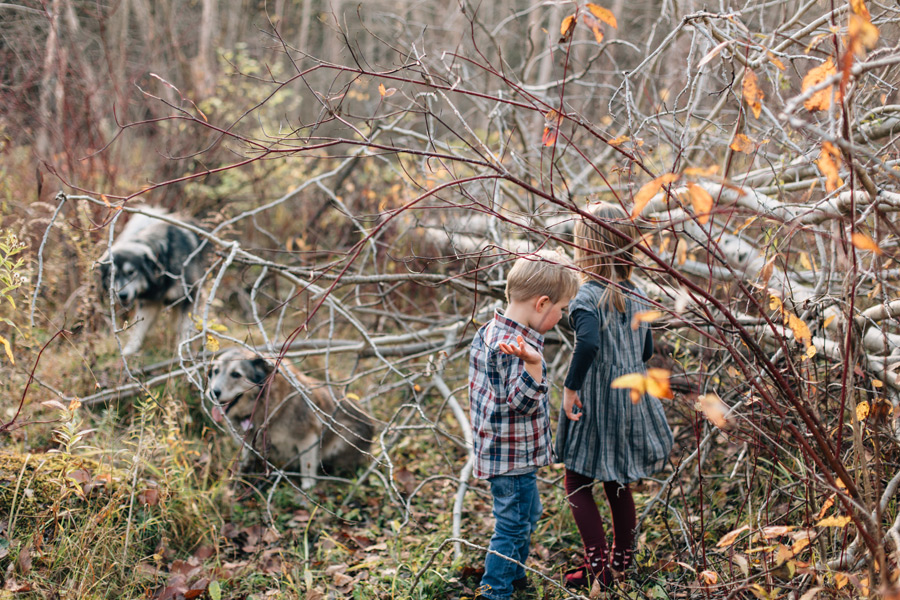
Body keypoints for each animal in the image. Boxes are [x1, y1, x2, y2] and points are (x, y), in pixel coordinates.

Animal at [97, 207, 205, 356]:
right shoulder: (149, 303)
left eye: (131, 272)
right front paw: (129, 351)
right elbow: (139, 328)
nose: (122, 295)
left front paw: (183, 349)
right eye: (112, 275)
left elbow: (185, 327)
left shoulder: (192, 295)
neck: (163, 259)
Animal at [207, 344, 372, 490]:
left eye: (236, 374)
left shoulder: (307, 437)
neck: (264, 403)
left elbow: (307, 463)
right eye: (215, 371)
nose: (213, 392)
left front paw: (307, 485)